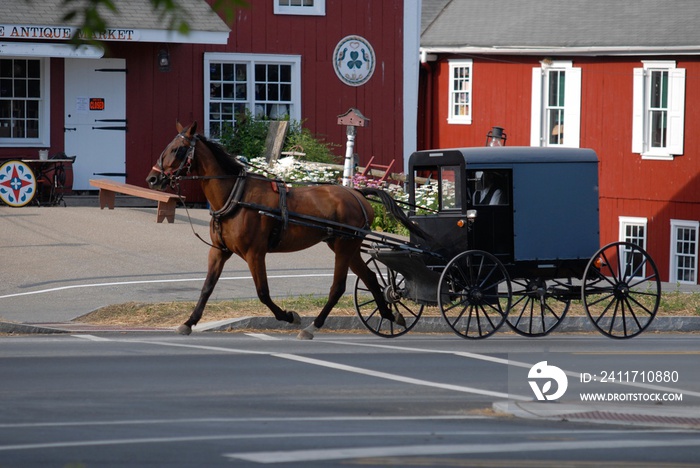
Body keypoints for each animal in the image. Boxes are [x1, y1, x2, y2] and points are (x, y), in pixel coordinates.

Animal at [145, 122, 424, 338]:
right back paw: (390, 315)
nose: (152, 179)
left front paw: (290, 316)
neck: (236, 196)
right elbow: (207, 288)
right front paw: (189, 322)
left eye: (178, 149)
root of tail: (356, 193)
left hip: (345, 246)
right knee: (370, 278)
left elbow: (263, 293)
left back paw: (313, 326)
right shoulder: (219, 251)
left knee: (338, 287)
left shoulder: (255, 253)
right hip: (348, 246)